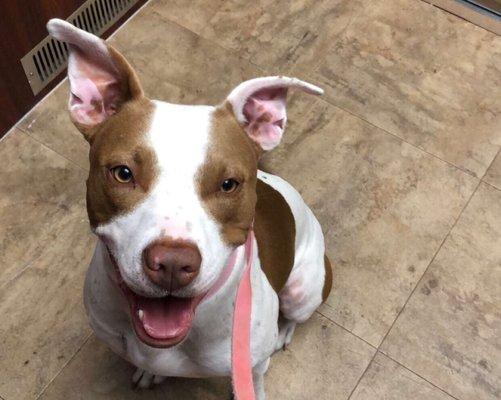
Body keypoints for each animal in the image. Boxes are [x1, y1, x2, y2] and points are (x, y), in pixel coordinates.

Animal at [47, 18, 332, 396]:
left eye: (228, 184)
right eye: (123, 173)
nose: (171, 263)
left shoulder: (252, 366)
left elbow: (255, 382)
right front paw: (149, 372)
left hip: (303, 289)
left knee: (296, 315)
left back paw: (282, 332)